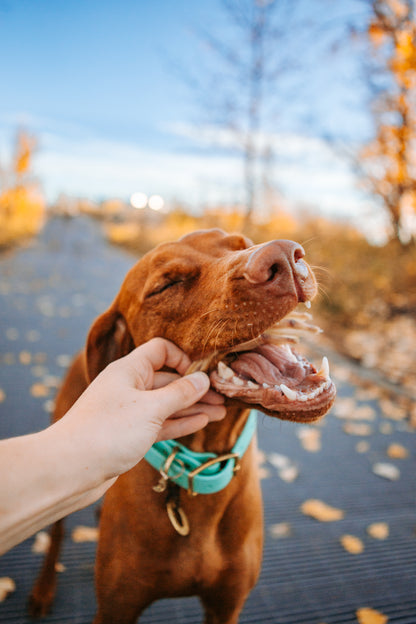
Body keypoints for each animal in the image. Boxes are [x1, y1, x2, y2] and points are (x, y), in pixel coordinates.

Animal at [28, 229, 334, 624]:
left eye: (242, 244)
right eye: (168, 284)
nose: (284, 255)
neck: (199, 468)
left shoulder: (226, 605)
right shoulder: (116, 607)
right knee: (56, 533)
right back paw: (43, 589)